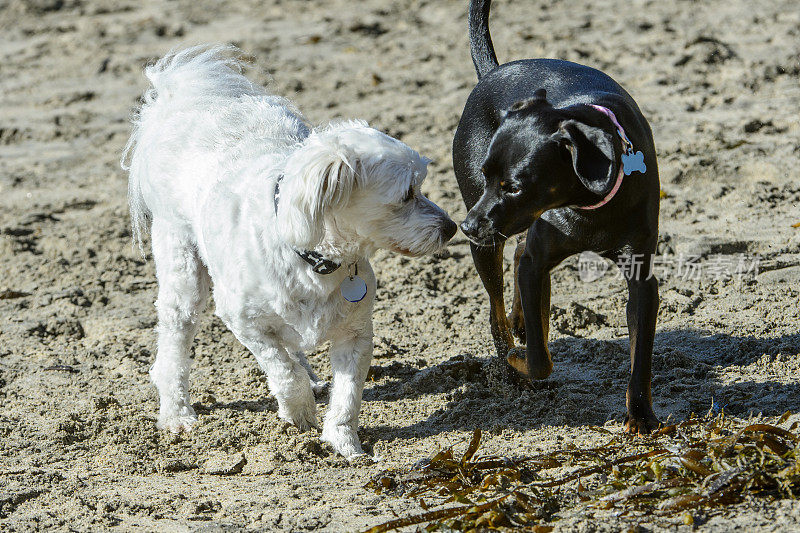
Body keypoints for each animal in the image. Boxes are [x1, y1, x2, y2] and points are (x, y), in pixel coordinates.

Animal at [121, 45, 454, 458]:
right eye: (407, 194)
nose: (452, 227)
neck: (315, 259)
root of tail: (180, 98)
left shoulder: (356, 335)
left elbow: (347, 396)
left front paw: (344, 443)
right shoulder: (245, 321)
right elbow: (281, 368)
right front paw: (299, 412)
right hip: (182, 268)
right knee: (175, 344)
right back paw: (176, 413)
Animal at [454, 0, 660, 432]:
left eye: (514, 187)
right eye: (486, 174)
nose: (467, 226)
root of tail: (494, 70)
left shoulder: (641, 277)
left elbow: (641, 357)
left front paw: (641, 416)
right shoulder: (536, 262)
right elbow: (539, 359)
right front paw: (519, 360)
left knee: (516, 262)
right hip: (489, 243)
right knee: (497, 312)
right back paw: (509, 359)